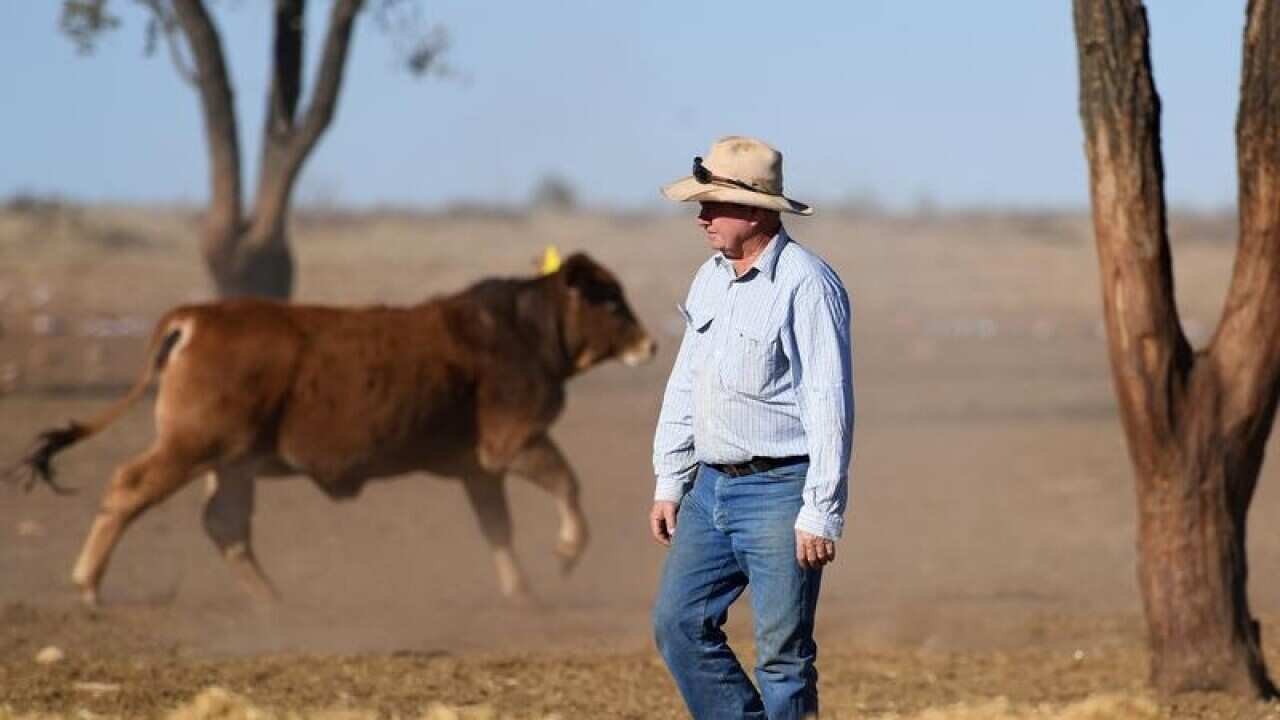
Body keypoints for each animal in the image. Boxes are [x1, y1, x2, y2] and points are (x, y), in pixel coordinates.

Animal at [11, 253, 656, 607]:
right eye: (610, 300)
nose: (650, 345)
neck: (522, 330)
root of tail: (195, 317)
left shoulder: (479, 470)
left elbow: (497, 528)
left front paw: (521, 591)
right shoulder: (514, 442)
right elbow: (568, 485)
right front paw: (567, 552)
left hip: (231, 463)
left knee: (225, 525)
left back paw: (272, 598)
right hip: (191, 447)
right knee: (129, 488)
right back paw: (88, 583)